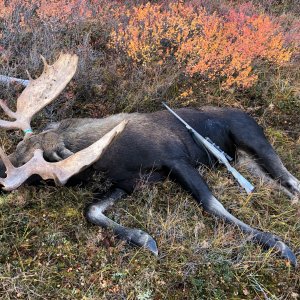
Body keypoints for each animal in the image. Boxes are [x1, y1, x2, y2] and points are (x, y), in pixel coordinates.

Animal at [0, 53, 298, 264]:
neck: (111, 157)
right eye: (19, 146)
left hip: (254, 140)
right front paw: (143, 238)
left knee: (290, 179)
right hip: (247, 163)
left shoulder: (177, 159)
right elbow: (92, 210)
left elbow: (213, 205)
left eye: (35, 175)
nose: (3, 171)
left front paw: (279, 245)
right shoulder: (129, 182)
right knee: (278, 184)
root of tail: (248, 114)